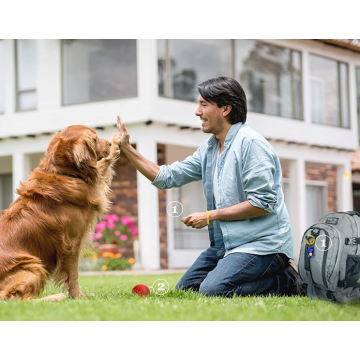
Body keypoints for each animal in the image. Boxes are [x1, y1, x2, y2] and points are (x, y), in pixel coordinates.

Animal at [0, 125, 121, 300]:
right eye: (95, 138)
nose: (110, 143)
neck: (64, 173)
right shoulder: (72, 243)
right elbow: (73, 274)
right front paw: (78, 295)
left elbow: (102, 164)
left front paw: (117, 142)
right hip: (32, 266)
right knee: (19, 299)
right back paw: (55, 297)